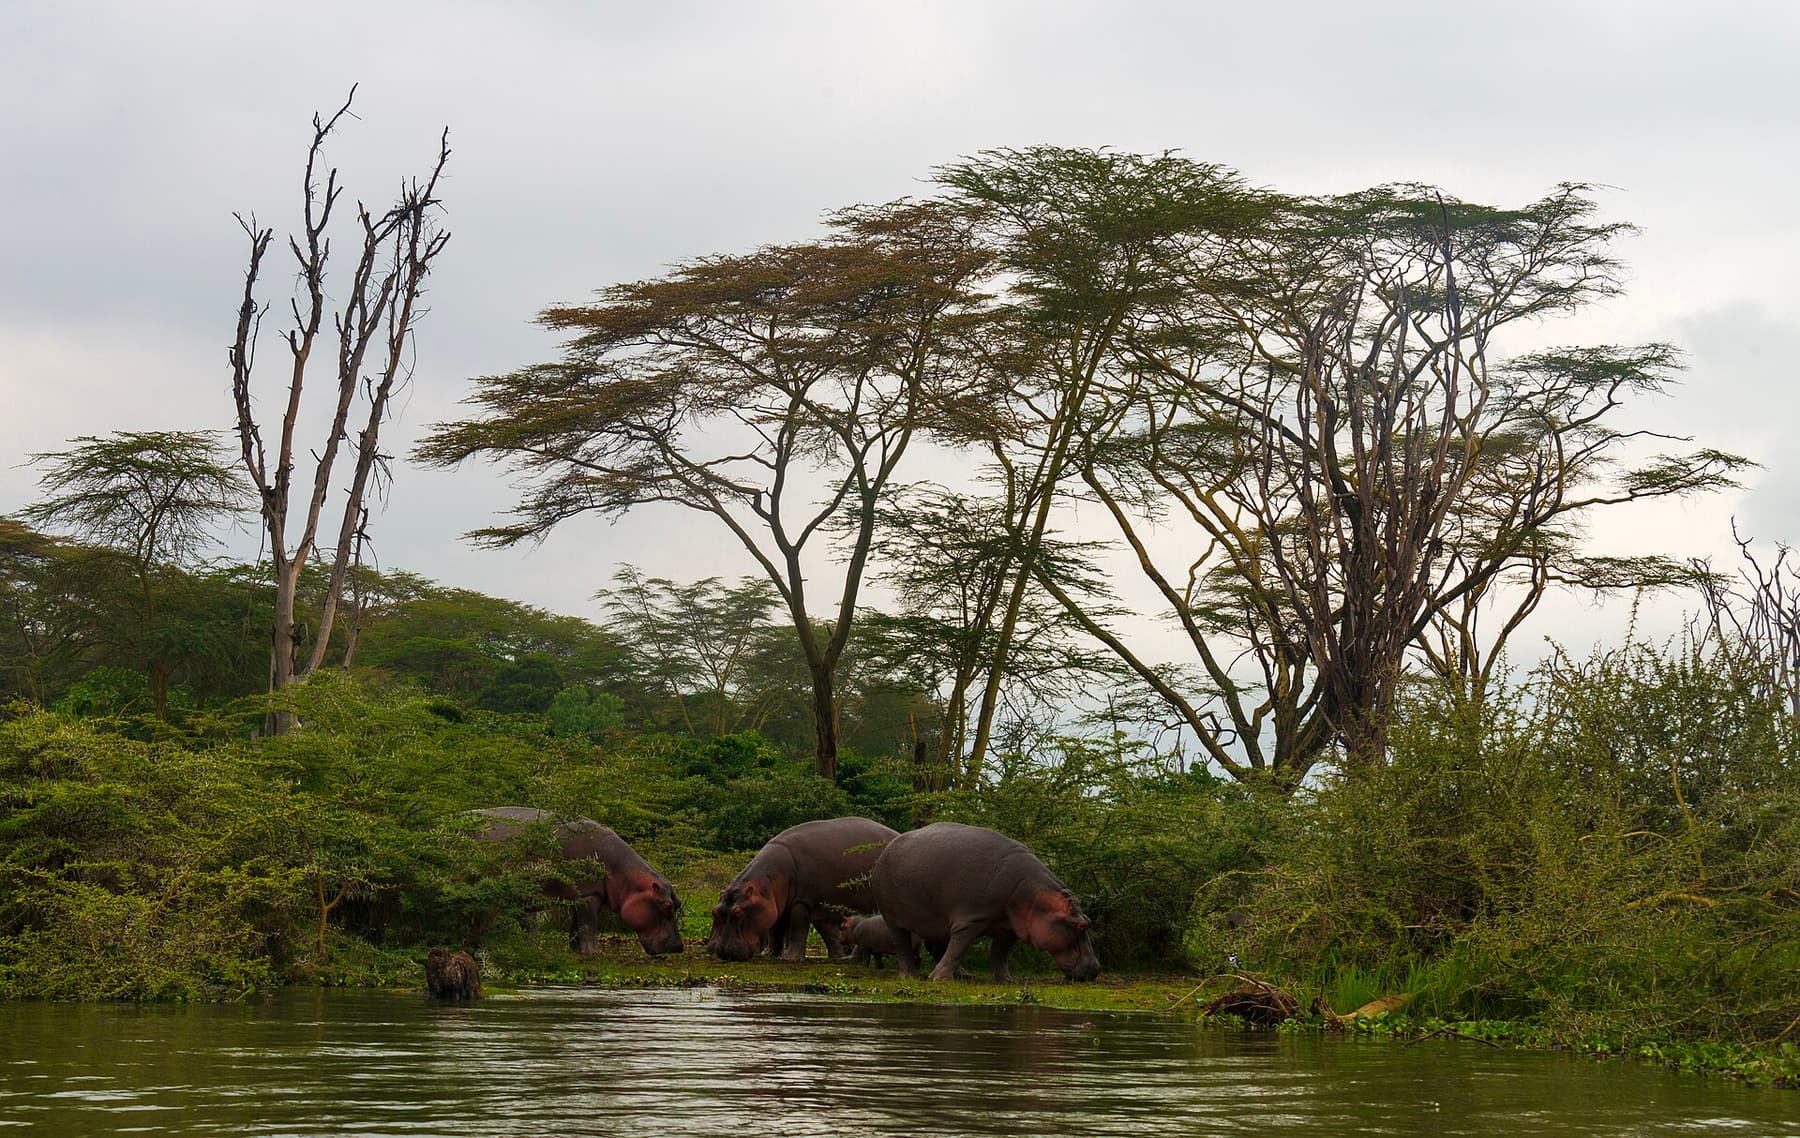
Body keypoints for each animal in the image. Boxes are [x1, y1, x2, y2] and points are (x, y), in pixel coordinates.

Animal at [472, 807, 683, 956]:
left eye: (678, 903)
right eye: (666, 905)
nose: (678, 947)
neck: (625, 876)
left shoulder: (578, 896)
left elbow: (576, 927)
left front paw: (575, 951)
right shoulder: (588, 894)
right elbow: (589, 925)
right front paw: (593, 953)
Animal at [706, 817, 898, 962]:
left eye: (739, 913)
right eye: (714, 912)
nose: (725, 953)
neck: (766, 885)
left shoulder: (802, 901)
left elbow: (798, 928)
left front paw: (789, 959)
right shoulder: (777, 905)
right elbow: (775, 930)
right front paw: (769, 955)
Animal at [872, 822, 1100, 982]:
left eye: (1089, 921)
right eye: (1081, 925)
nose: (1097, 968)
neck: (1033, 895)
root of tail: (889, 847)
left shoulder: (1009, 927)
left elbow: (999, 954)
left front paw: (1006, 980)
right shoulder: (971, 919)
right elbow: (959, 947)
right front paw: (939, 979)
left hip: (935, 920)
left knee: (937, 946)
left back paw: (964, 975)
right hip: (893, 918)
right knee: (902, 945)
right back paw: (910, 976)